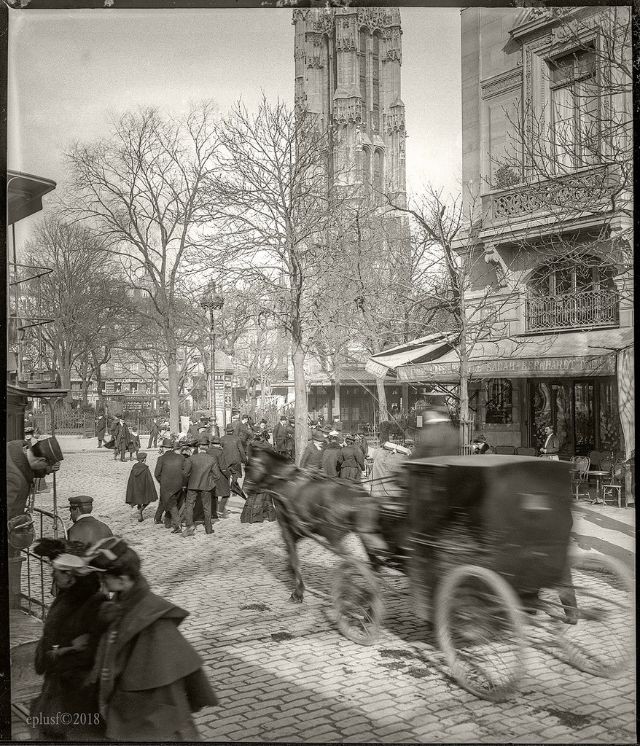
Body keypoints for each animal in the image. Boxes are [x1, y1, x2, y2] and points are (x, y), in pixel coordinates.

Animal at [244, 438, 390, 600]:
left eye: (248, 467)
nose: (246, 488)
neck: (286, 482)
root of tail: (361, 497)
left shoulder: (287, 529)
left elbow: (294, 558)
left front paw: (298, 591)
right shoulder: (300, 529)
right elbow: (291, 555)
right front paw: (290, 572)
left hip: (334, 537)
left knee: (358, 563)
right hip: (365, 535)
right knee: (374, 563)